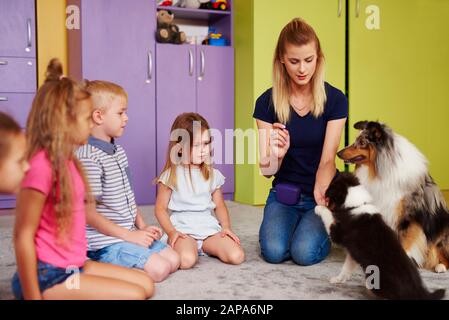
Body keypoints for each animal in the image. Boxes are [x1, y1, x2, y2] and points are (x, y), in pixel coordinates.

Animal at [316, 172, 444, 300]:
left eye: (329, 198)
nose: (323, 196)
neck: (357, 205)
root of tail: (418, 291)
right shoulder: (353, 252)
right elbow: (347, 267)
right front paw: (338, 279)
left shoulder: (337, 233)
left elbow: (328, 215)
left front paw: (318, 208)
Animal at [336, 120, 448, 272]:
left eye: (362, 142)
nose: (338, 153)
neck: (379, 170)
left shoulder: (407, 216)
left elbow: (405, 242)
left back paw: (440, 266)